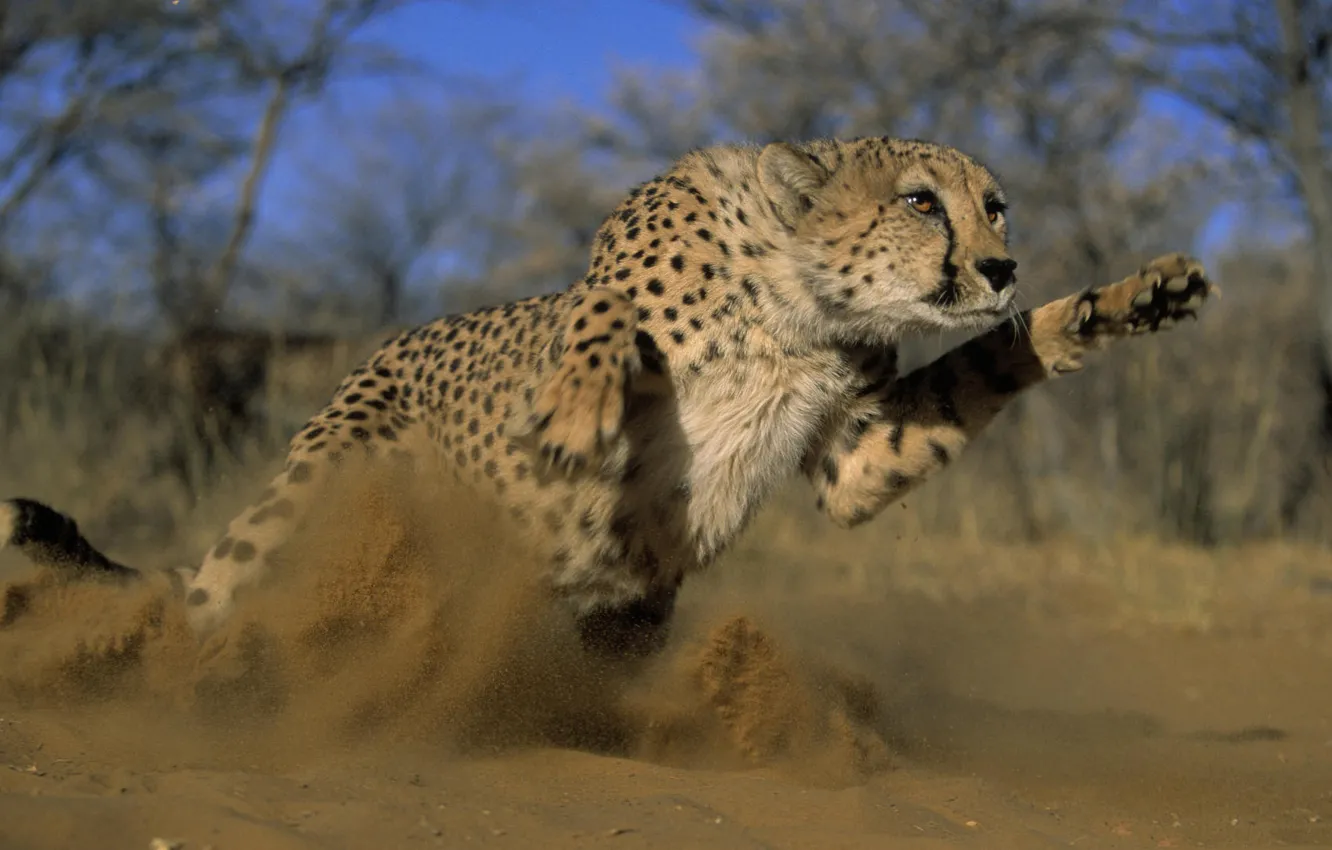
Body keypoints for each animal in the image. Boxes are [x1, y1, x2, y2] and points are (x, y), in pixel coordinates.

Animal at [1, 136, 1213, 659]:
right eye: (922, 201)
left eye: (995, 206)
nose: (1002, 265)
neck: (798, 303)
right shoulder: (607, 279)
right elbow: (597, 319)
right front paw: (581, 409)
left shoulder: (856, 454)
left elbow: (991, 362)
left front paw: (1122, 301)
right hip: (318, 487)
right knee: (214, 600)